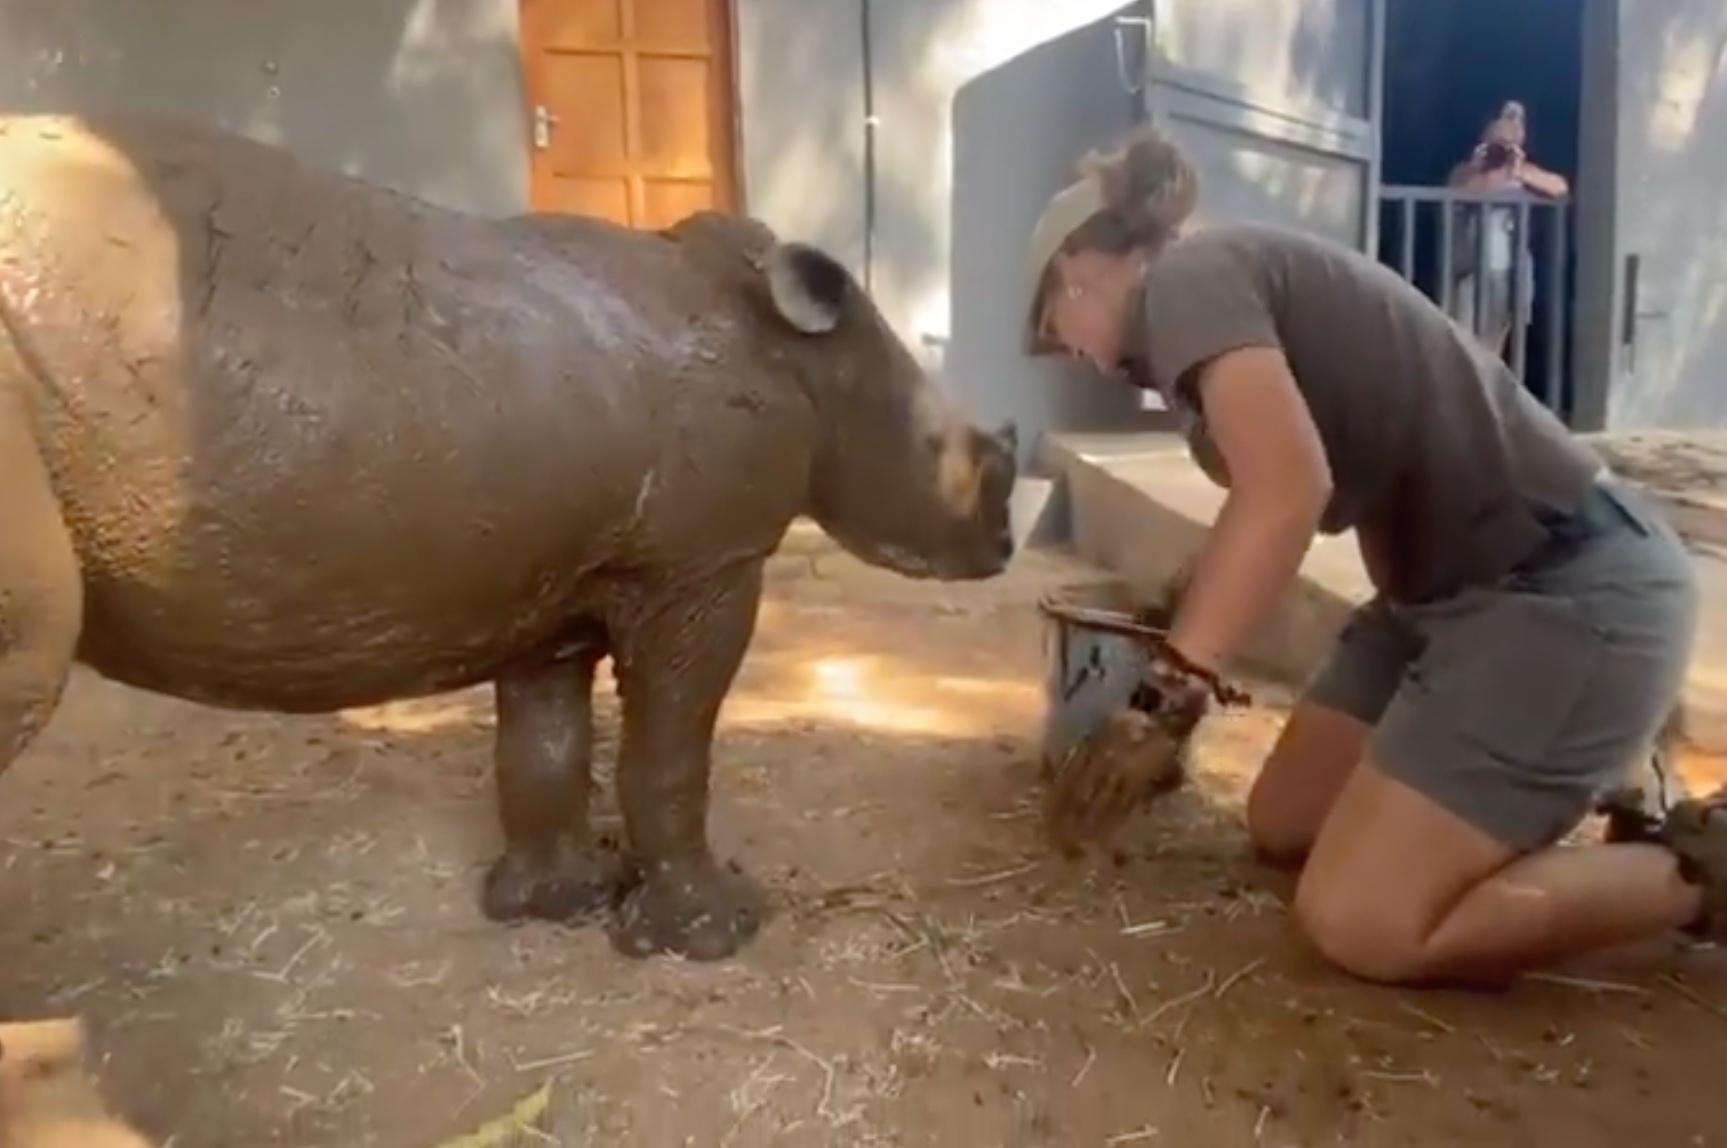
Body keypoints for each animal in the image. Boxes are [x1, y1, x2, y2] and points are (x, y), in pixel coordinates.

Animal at [0, 115, 1018, 961]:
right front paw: (719, 933)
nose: (1004, 544)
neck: (804, 356)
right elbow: (670, 748)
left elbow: (544, 745)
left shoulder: (558, 575)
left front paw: (552, 906)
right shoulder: (705, 562)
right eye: (945, 454)